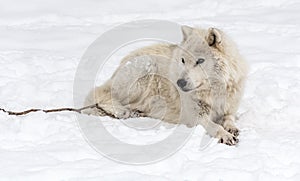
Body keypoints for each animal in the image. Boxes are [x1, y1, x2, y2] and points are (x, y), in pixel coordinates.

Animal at [84, 25, 248, 146]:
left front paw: (232, 128)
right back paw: (123, 111)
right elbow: (215, 126)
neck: (213, 91)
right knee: (100, 94)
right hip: (145, 70)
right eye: (183, 60)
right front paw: (225, 135)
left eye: (200, 61)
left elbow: (229, 119)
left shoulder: (229, 109)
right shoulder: (195, 116)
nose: (180, 83)